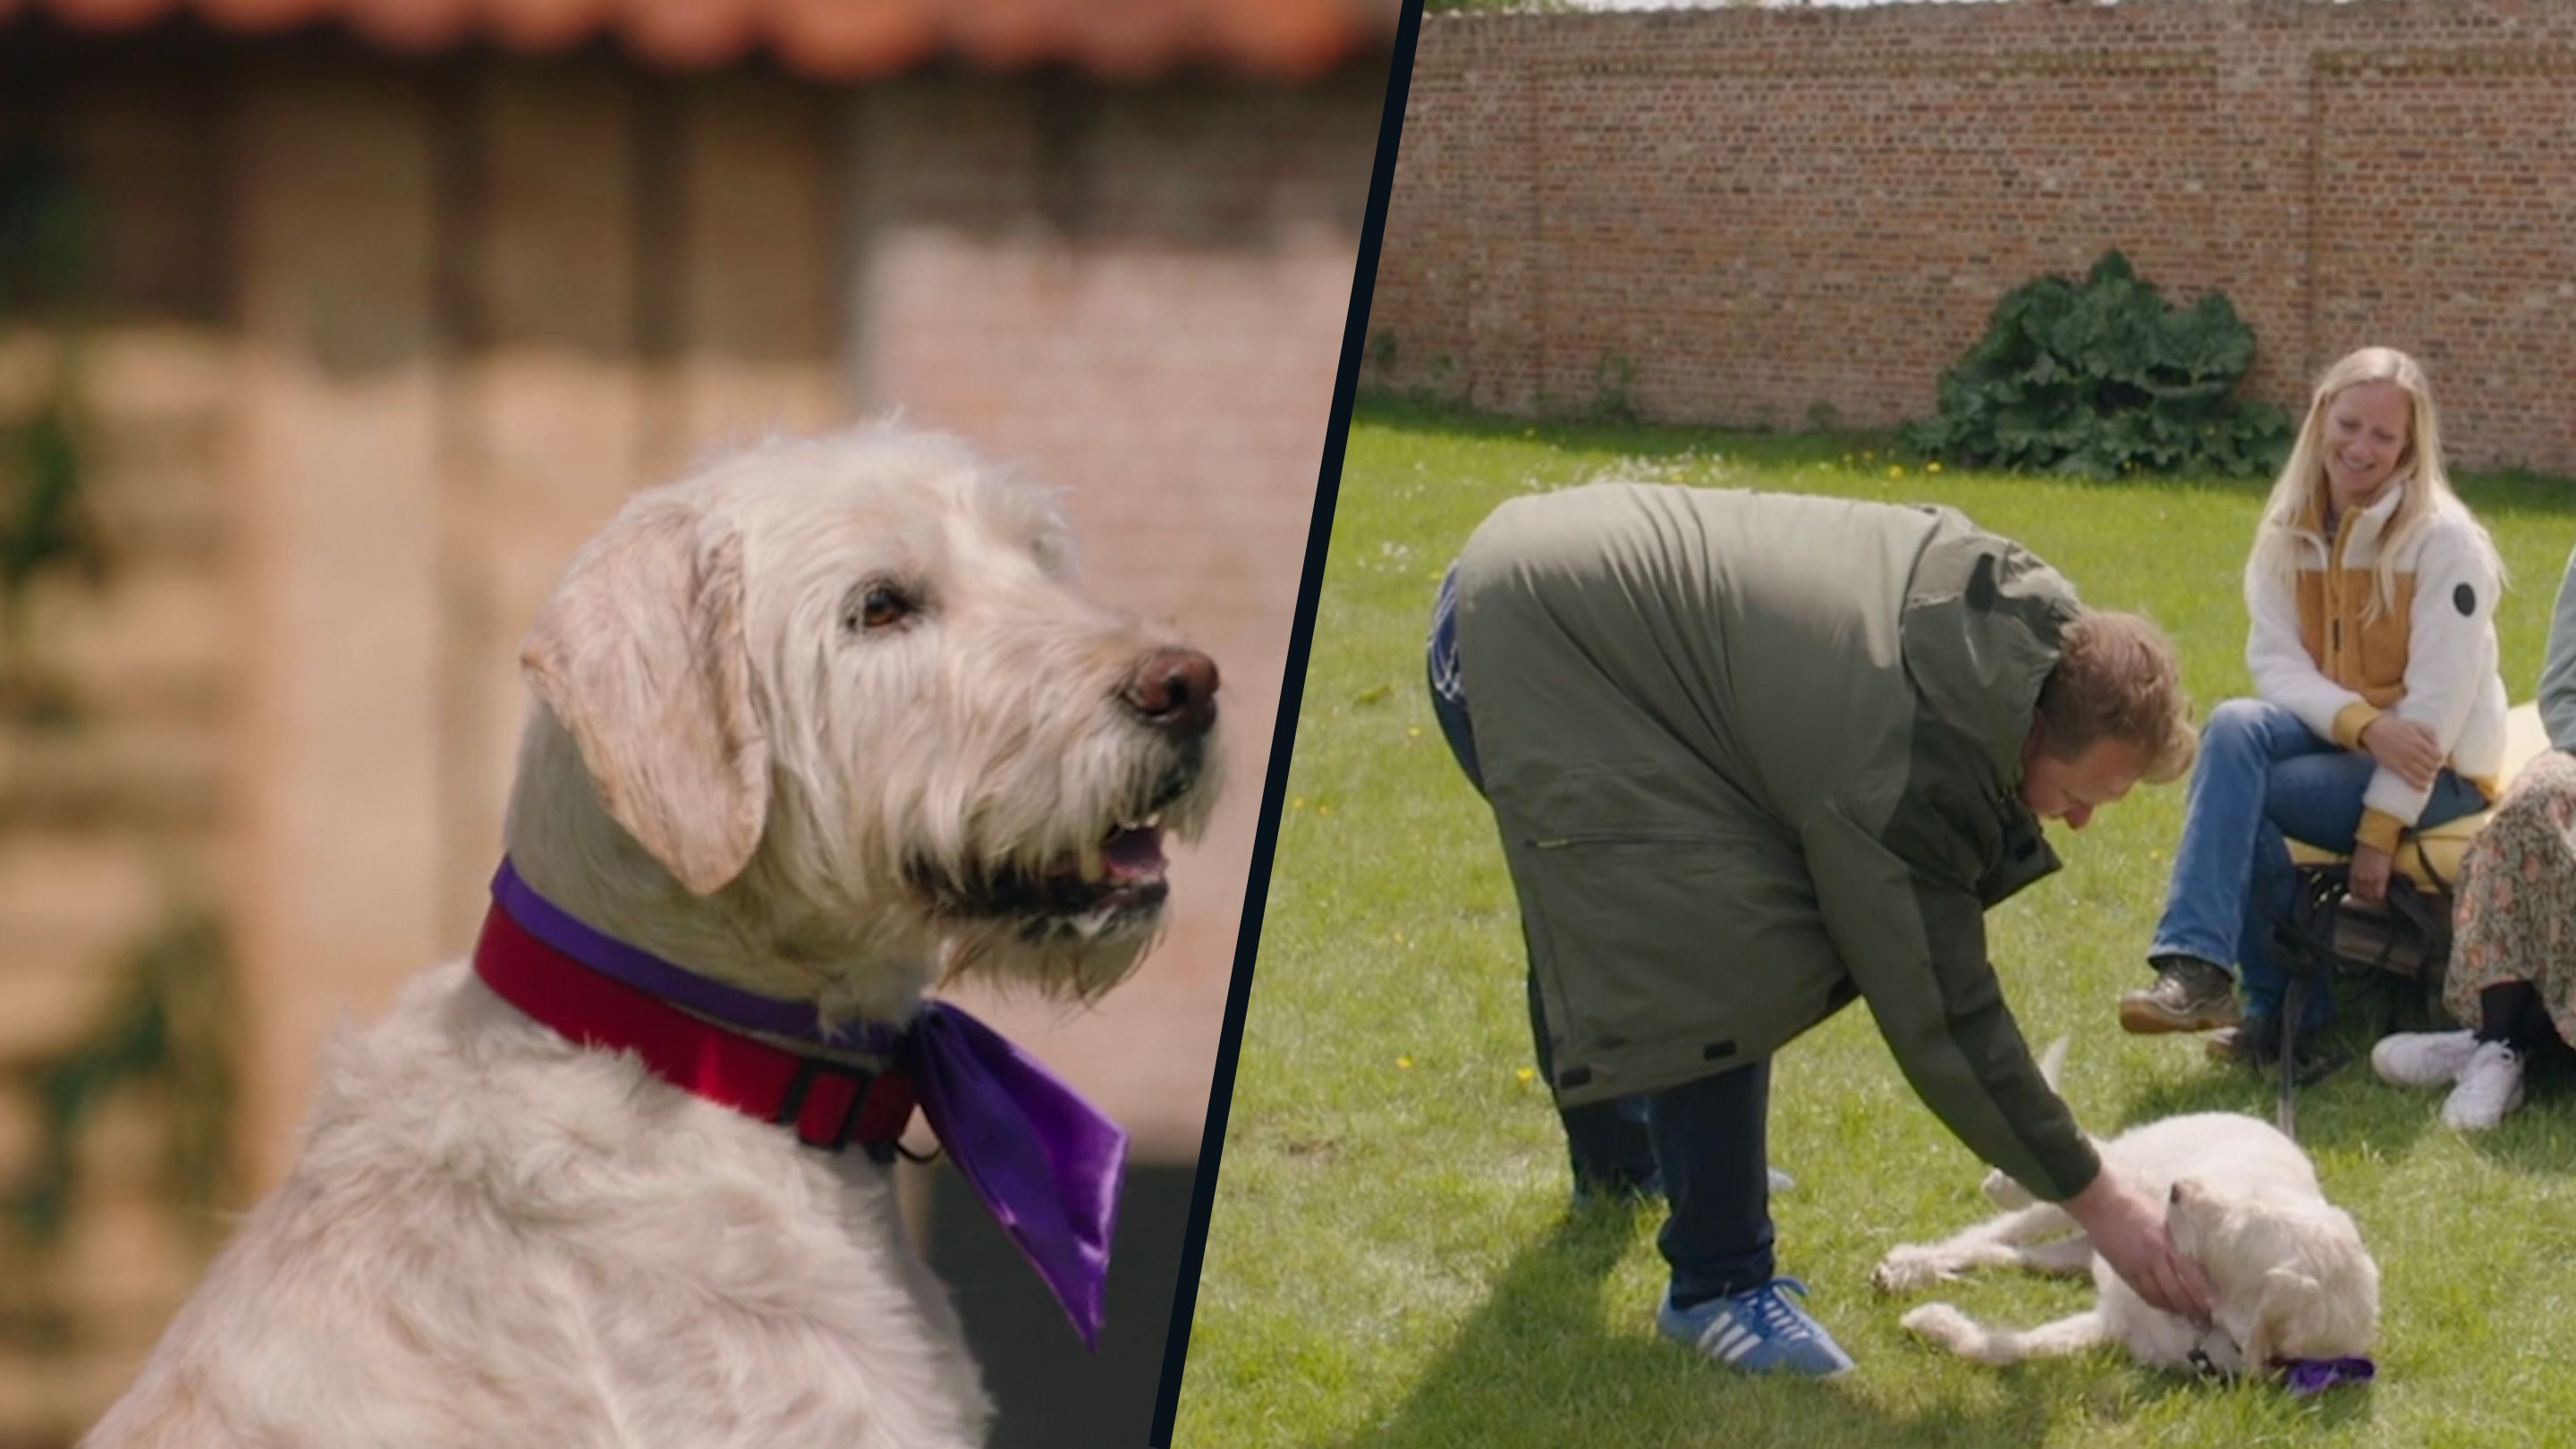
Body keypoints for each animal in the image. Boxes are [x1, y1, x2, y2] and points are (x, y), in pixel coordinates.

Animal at [1875, 1036, 2369, 1371]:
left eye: (2237, 1233)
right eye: (2252, 1196)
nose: (2177, 1189)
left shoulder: (2111, 1324)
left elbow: (2008, 1348)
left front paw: (1934, 1324)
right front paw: (1931, 1318)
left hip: (2092, 1243)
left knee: (2011, 1252)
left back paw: (1914, 1271)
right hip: (2120, 1177)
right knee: (2018, 1215)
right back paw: (1920, 1256)